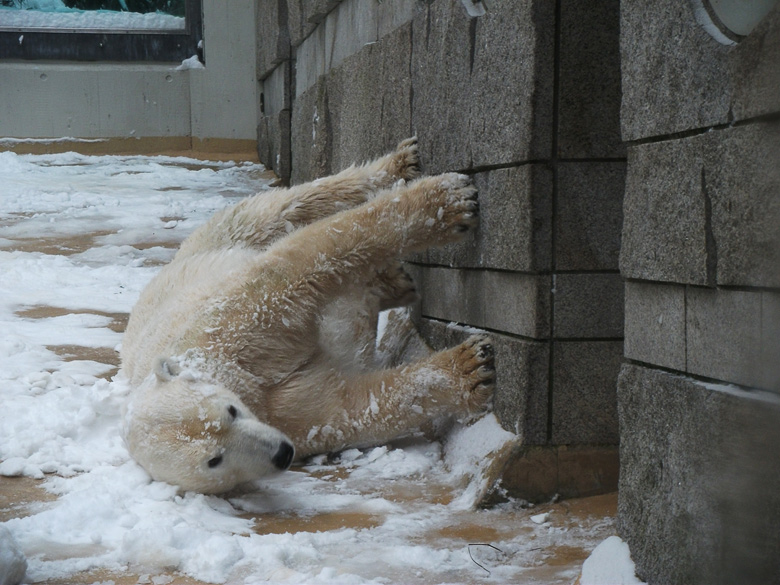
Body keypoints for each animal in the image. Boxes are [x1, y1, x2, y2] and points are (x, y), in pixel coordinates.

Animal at [120, 140, 500, 492]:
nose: (281, 453)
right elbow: (349, 408)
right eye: (215, 460)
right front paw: (471, 369)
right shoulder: (282, 417)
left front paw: (448, 202)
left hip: (215, 241)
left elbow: (300, 265)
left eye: (230, 410)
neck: (227, 366)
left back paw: (400, 167)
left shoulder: (233, 324)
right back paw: (393, 284)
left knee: (283, 209)